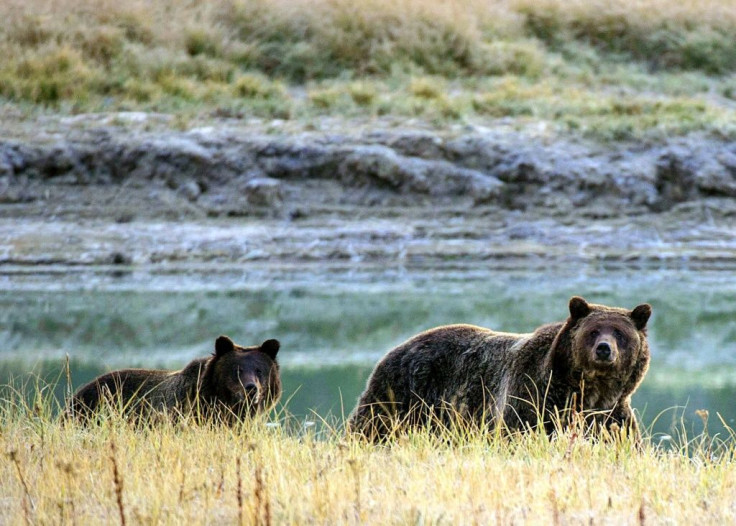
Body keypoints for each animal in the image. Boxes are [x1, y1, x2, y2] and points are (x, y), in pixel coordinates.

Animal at [348, 300, 652, 444]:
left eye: (620, 333)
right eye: (593, 331)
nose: (604, 349)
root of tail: (397, 347)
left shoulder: (612, 415)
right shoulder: (532, 397)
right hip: (402, 394)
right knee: (370, 426)